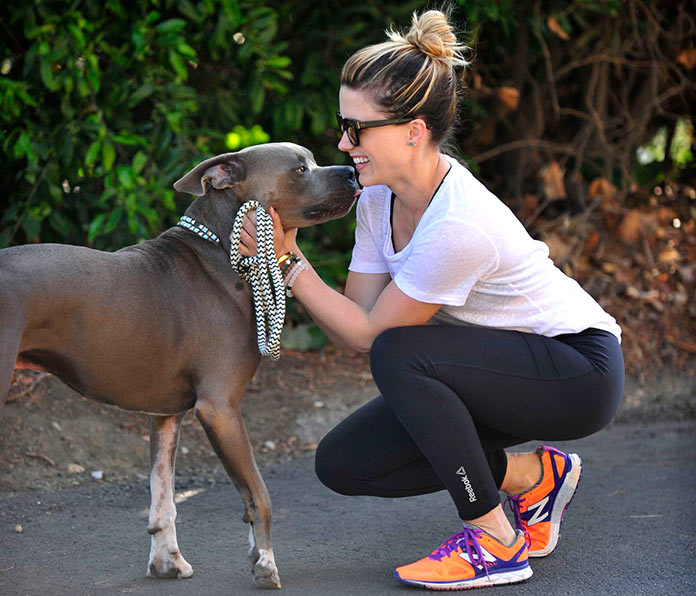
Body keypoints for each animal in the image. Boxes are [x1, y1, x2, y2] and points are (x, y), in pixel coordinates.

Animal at [0, 143, 358, 588]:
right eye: (299, 169)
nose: (352, 172)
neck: (220, 252)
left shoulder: (166, 415)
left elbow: (163, 497)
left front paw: (167, 561)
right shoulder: (220, 408)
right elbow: (258, 495)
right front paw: (265, 563)